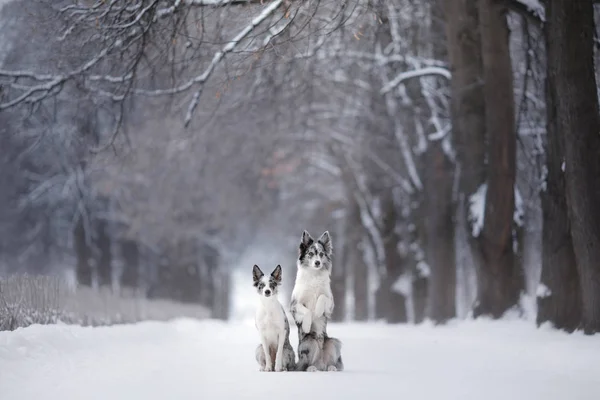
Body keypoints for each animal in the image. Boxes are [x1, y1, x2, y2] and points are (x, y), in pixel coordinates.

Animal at [290, 231, 342, 372]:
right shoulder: (294, 305)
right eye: (311, 253)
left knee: (330, 363)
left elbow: (322, 297)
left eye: (322, 254)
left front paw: (318, 311)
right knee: (307, 364)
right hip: (309, 342)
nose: (317, 262)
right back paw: (311, 368)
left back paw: (331, 368)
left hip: (333, 342)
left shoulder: (330, 303)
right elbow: (307, 311)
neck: (314, 274)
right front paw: (307, 325)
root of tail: (320, 363)